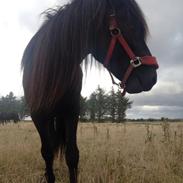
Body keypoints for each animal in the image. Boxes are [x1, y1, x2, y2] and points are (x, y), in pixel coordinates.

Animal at [21, 0, 158, 182]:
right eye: (120, 29)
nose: (152, 78)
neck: (49, 69)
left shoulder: (71, 111)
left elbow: (72, 155)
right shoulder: (38, 115)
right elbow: (47, 153)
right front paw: (49, 175)